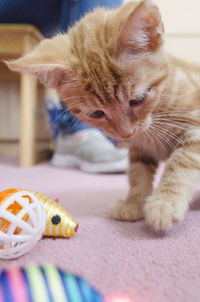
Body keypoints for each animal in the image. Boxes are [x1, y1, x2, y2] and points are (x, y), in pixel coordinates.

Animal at [5, 0, 200, 230]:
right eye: (97, 113)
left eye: (138, 100)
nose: (125, 134)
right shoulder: (139, 148)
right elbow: (138, 174)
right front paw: (133, 202)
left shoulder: (196, 129)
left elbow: (181, 164)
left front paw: (165, 202)